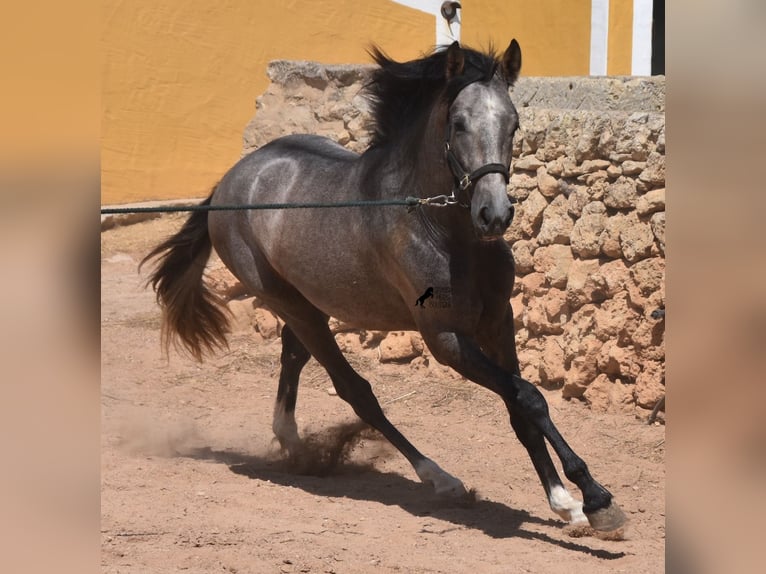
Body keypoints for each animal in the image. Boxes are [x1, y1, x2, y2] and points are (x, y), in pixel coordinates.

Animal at [146, 41, 632, 536]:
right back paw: (438, 477)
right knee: (355, 390)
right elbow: (529, 398)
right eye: (459, 123)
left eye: (514, 123)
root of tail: (231, 180)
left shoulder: (499, 320)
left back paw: (294, 444)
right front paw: (597, 499)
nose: (494, 215)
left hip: (310, 302)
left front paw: (563, 502)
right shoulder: (445, 339)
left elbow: (520, 406)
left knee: (294, 353)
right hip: (288, 302)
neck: (442, 231)